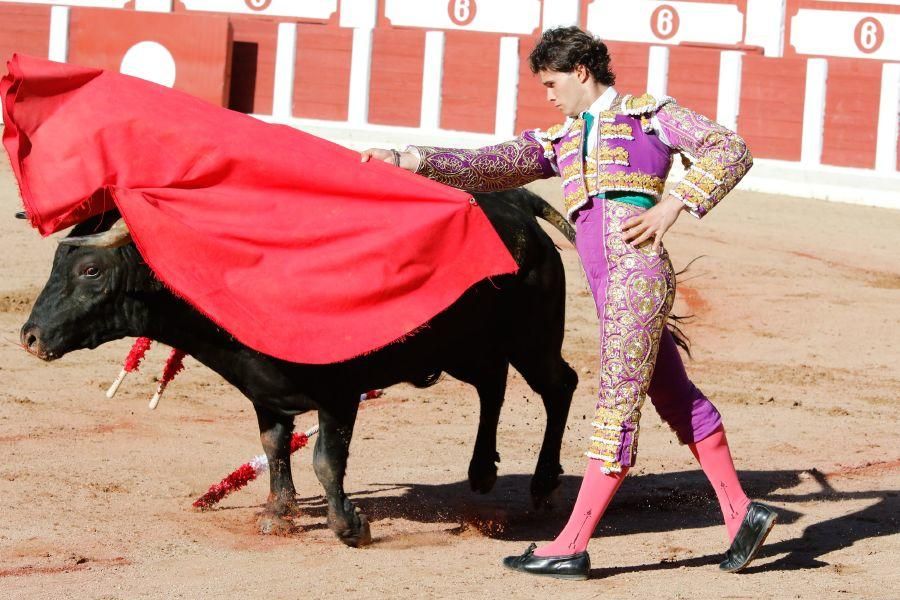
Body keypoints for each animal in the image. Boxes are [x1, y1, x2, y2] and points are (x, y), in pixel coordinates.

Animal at [24, 189, 580, 548]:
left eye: (90, 270)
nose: (29, 338)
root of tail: (517, 204)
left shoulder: (337, 395)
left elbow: (325, 461)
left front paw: (350, 527)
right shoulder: (265, 392)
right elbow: (274, 447)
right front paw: (279, 515)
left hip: (531, 340)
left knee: (559, 385)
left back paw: (542, 483)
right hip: (463, 349)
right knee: (492, 384)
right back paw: (483, 471)